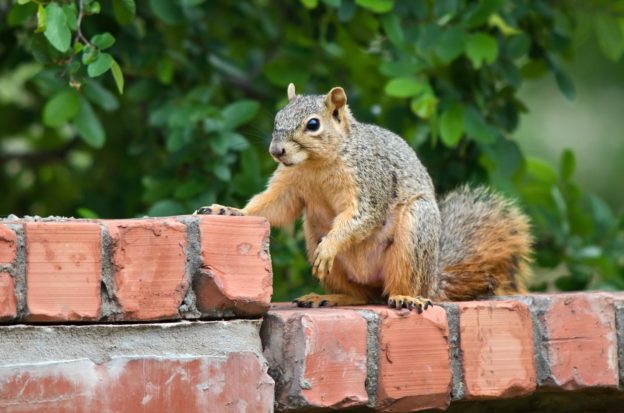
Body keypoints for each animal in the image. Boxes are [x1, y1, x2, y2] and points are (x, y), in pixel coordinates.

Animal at [196, 83, 532, 308]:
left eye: (313, 124)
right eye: (278, 118)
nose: (276, 151)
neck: (316, 165)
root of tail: (434, 280)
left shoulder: (370, 181)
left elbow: (364, 215)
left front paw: (331, 246)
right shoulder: (290, 184)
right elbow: (274, 206)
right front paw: (230, 210)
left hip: (415, 234)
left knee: (400, 287)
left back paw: (406, 297)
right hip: (314, 236)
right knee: (361, 296)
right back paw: (331, 297)